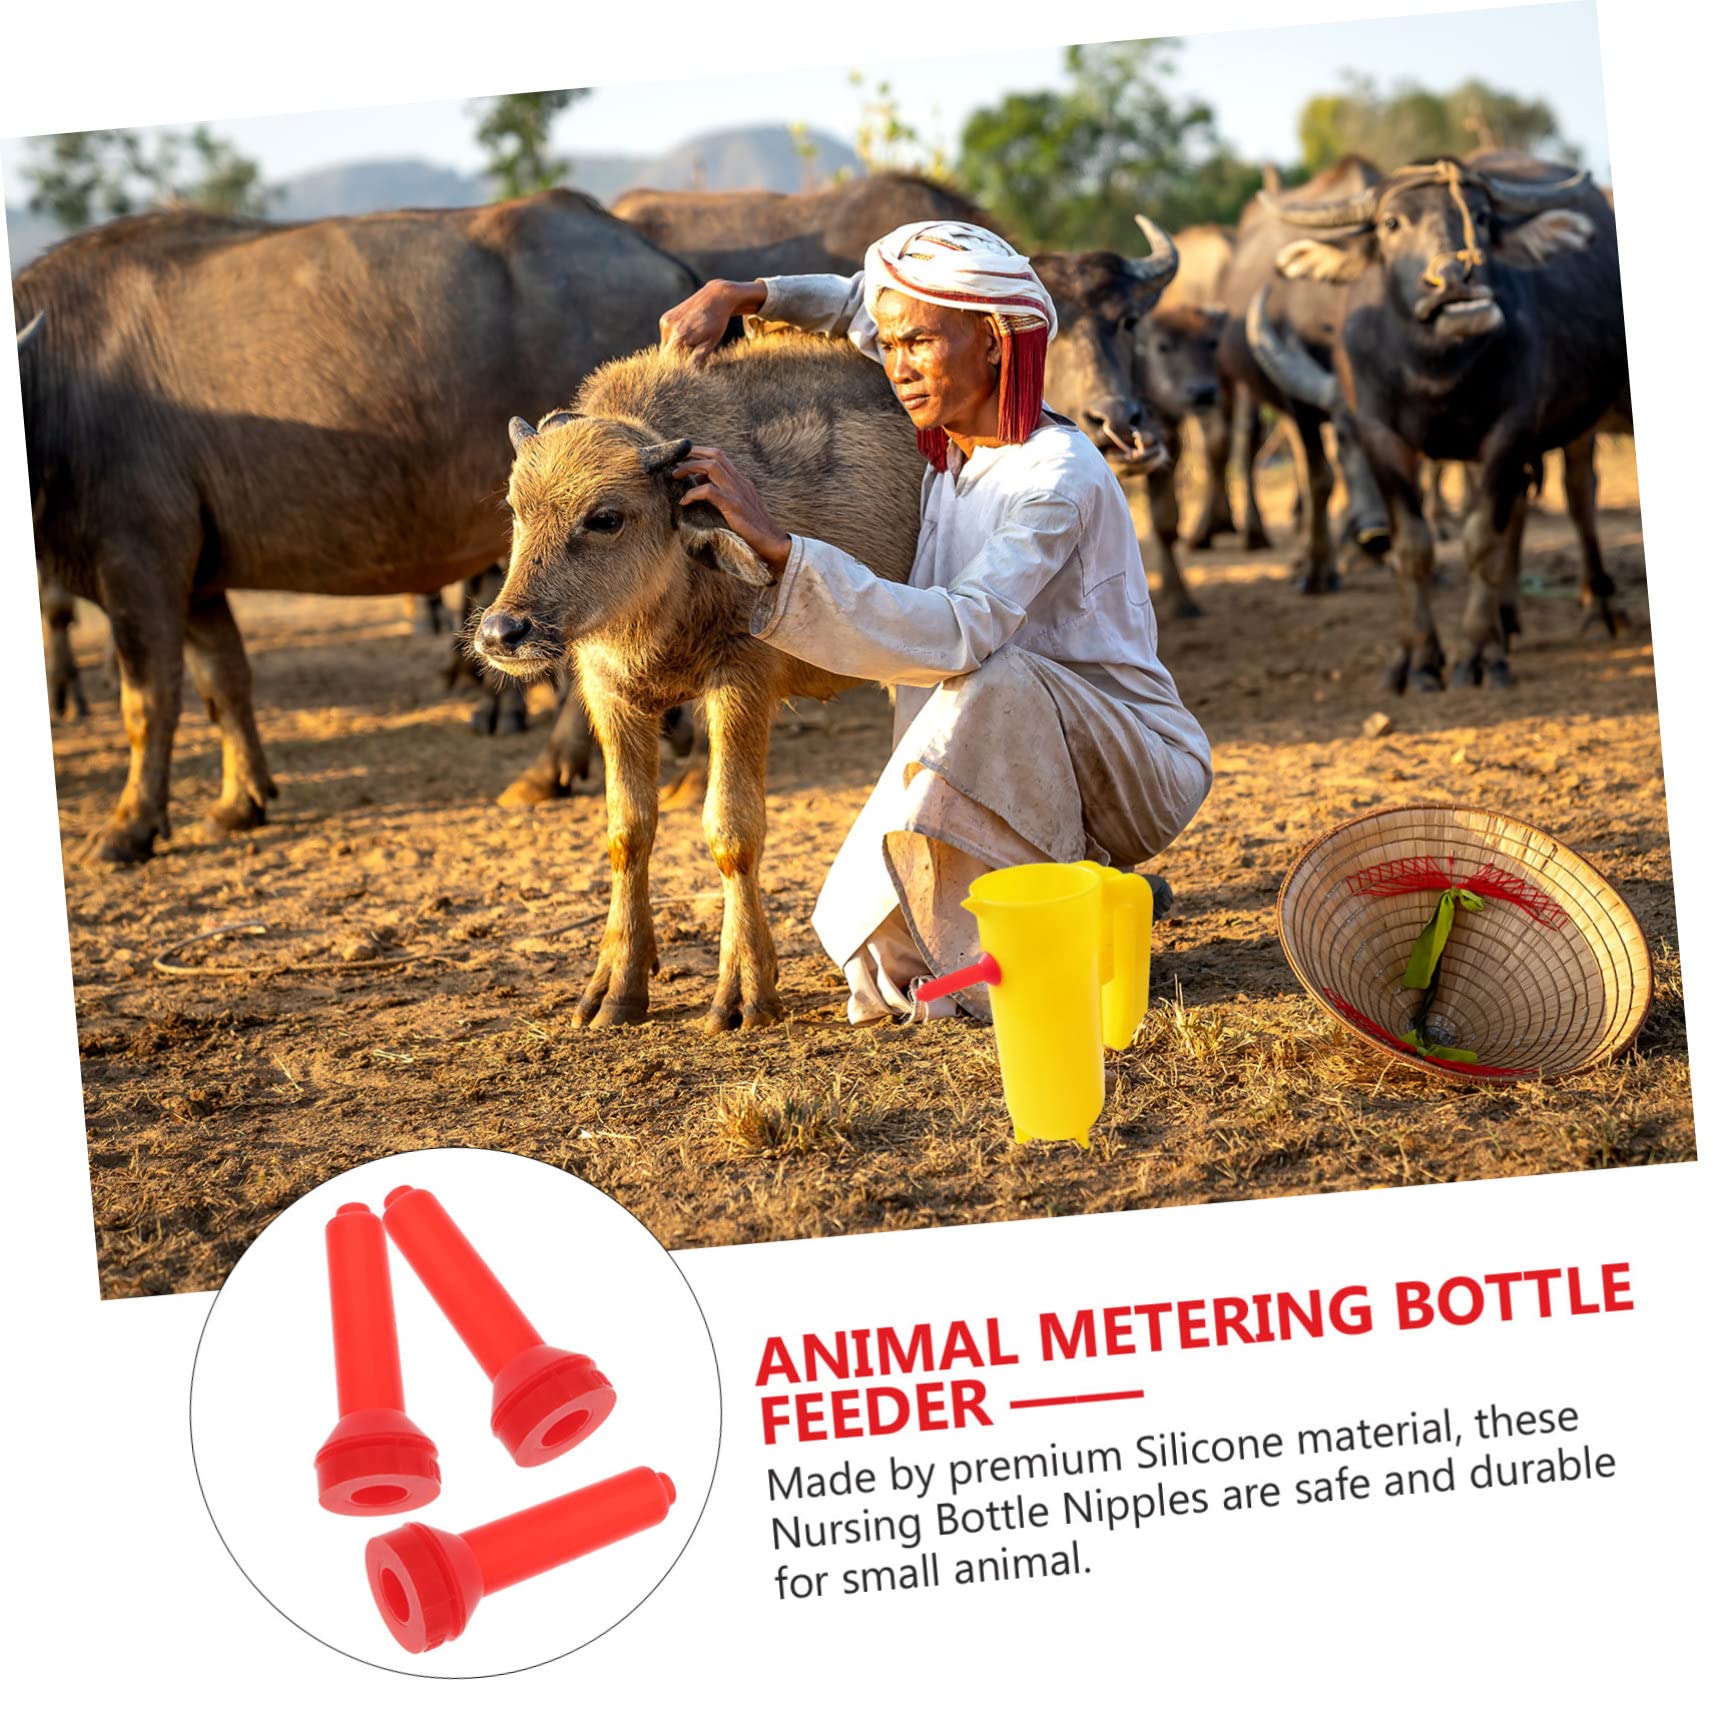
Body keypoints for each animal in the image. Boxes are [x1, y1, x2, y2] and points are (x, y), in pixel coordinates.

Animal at [13, 191, 698, 862]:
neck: (63, 385)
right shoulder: (198, 583)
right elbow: (224, 684)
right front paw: (240, 800)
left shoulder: (139, 564)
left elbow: (147, 701)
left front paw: (128, 827)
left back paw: (555, 768)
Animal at [473, 332, 925, 1033]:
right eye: (516, 509)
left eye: (605, 517)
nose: (501, 633)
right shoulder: (611, 695)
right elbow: (627, 830)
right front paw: (615, 988)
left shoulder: (740, 684)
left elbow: (732, 830)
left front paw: (744, 993)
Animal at [1247, 153, 1625, 689]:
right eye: (1390, 224)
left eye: (1481, 217)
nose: (1454, 277)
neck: (1435, 370)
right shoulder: (1382, 436)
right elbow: (1413, 546)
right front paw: (1418, 660)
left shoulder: (1509, 433)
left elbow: (1482, 541)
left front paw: (1478, 655)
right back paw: (1507, 617)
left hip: (1578, 423)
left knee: (1578, 496)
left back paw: (1596, 608)